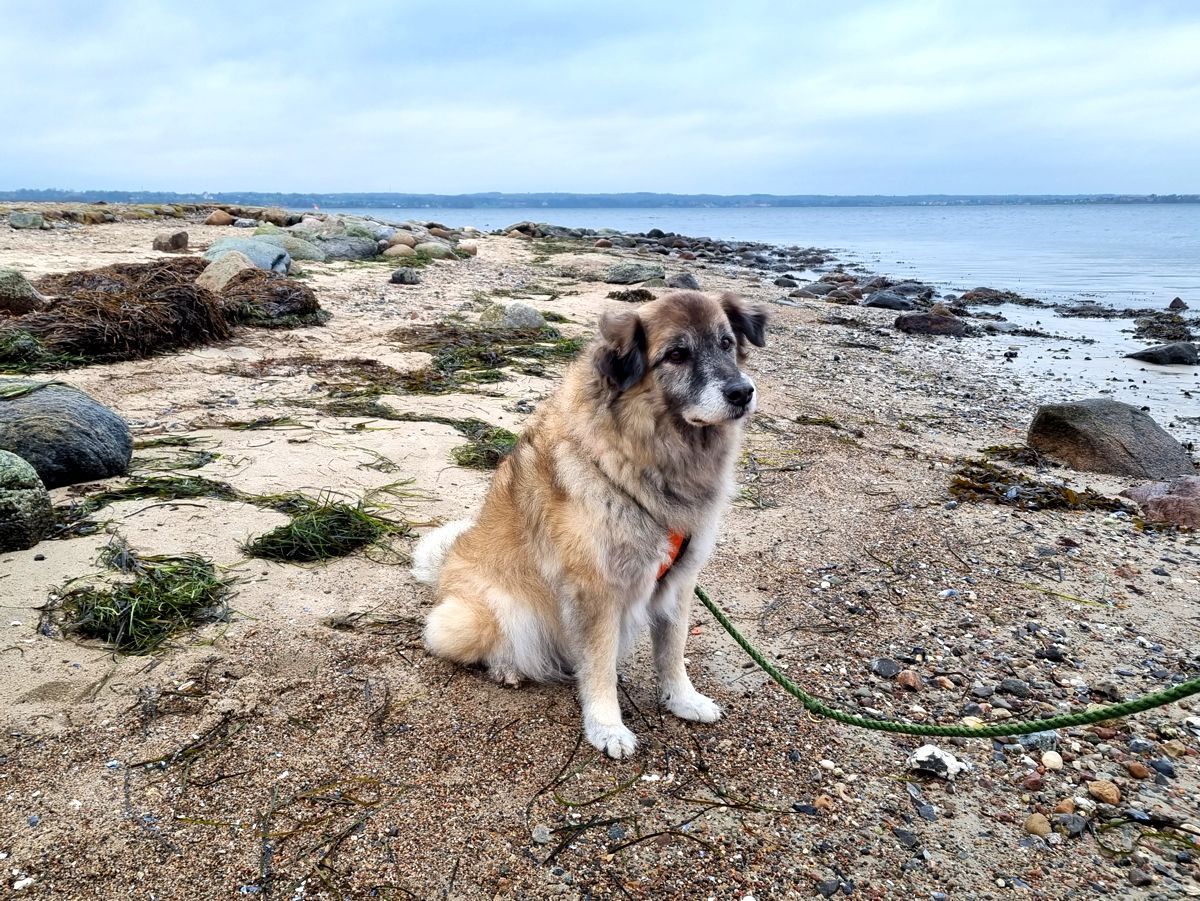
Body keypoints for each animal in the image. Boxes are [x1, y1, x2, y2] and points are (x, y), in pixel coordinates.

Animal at [412, 292, 768, 758]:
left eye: (726, 343)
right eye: (676, 354)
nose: (742, 392)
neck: (641, 460)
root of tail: (447, 563)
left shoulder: (678, 583)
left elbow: (672, 651)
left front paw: (682, 699)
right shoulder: (596, 592)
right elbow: (598, 667)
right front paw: (607, 727)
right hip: (481, 616)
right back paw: (507, 667)